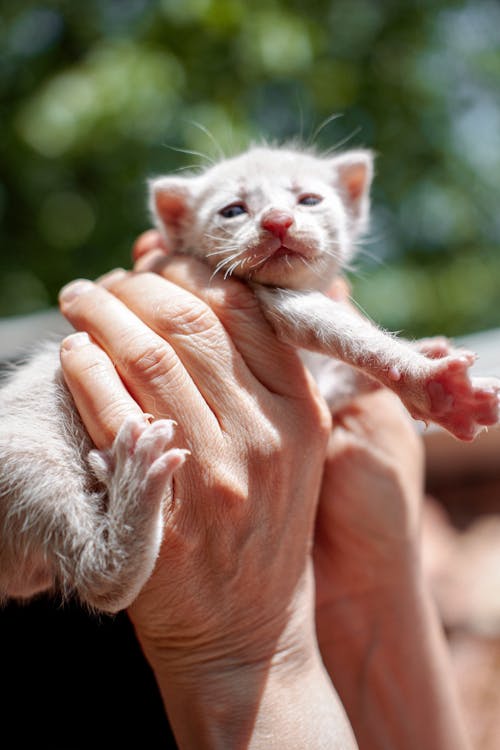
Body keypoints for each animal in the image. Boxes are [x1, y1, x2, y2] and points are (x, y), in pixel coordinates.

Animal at [0, 144, 498, 612]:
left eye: (309, 199)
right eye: (233, 209)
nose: (278, 221)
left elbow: (330, 379)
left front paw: (415, 358)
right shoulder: (271, 298)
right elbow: (339, 330)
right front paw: (434, 384)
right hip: (31, 462)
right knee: (99, 580)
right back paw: (135, 481)